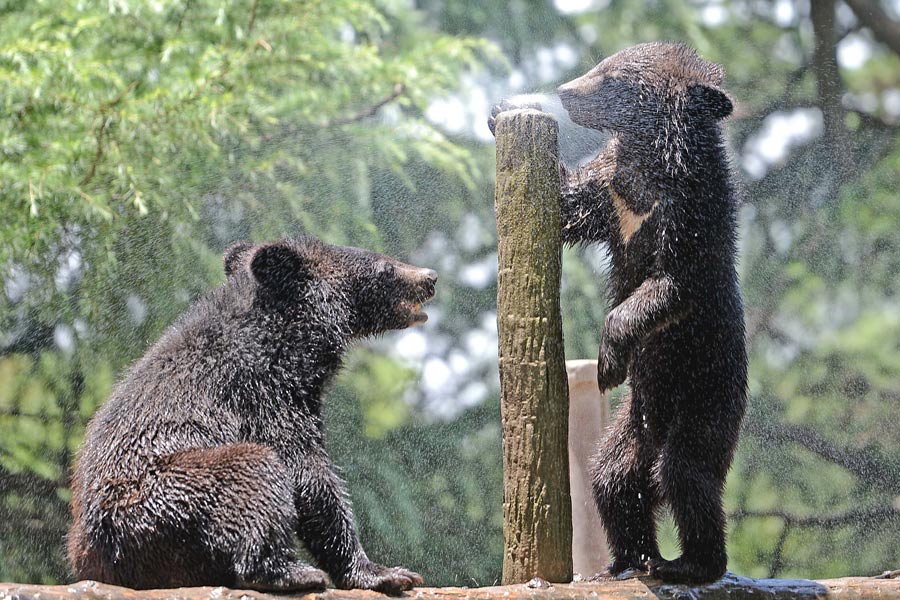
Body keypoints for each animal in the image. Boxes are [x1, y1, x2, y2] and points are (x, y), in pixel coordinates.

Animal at [69, 237, 436, 592]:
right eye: (384, 267)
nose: (430, 277)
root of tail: (90, 562)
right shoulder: (262, 392)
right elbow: (307, 472)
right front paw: (383, 572)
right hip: (152, 504)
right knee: (253, 468)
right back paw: (289, 571)